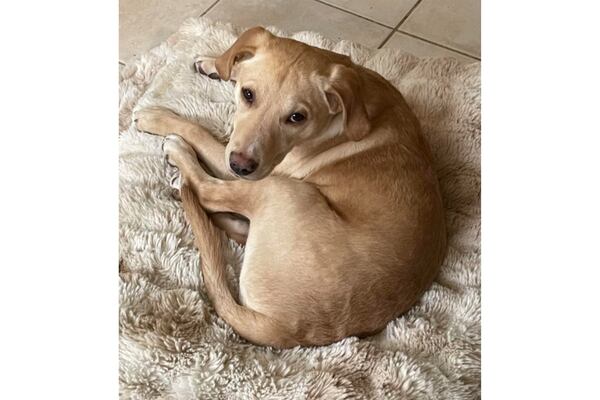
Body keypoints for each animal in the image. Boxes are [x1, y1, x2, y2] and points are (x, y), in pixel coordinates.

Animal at [135, 27, 446, 346]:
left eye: (297, 117)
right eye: (248, 94)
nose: (241, 166)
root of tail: (285, 329)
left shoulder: (249, 165)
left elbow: (200, 132)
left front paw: (157, 118)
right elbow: (233, 62)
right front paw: (216, 63)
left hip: (284, 190)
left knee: (209, 192)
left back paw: (179, 158)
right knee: (235, 223)